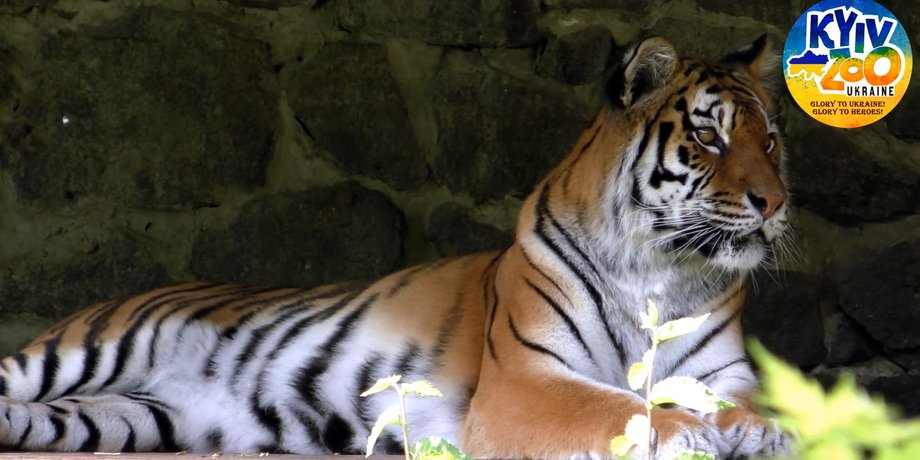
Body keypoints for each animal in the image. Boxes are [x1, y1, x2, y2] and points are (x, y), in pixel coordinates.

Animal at [0, 35, 792, 458]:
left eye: (770, 142)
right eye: (709, 136)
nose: (776, 203)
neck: (660, 265)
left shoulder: (725, 372)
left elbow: (750, 403)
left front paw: (762, 432)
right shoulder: (526, 379)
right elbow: (617, 406)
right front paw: (686, 432)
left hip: (123, 417)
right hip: (79, 352)